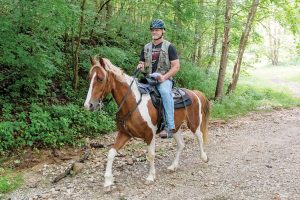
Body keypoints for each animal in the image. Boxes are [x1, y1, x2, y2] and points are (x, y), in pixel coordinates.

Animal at [84, 56, 211, 191]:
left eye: (100, 78)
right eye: (89, 77)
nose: (88, 105)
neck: (132, 103)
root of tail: (194, 92)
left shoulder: (150, 134)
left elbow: (151, 155)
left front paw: (150, 177)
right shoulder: (124, 133)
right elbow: (111, 153)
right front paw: (108, 181)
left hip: (193, 123)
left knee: (199, 137)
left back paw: (204, 157)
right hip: (175, 127)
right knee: (181, 145)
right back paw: (173, 166)